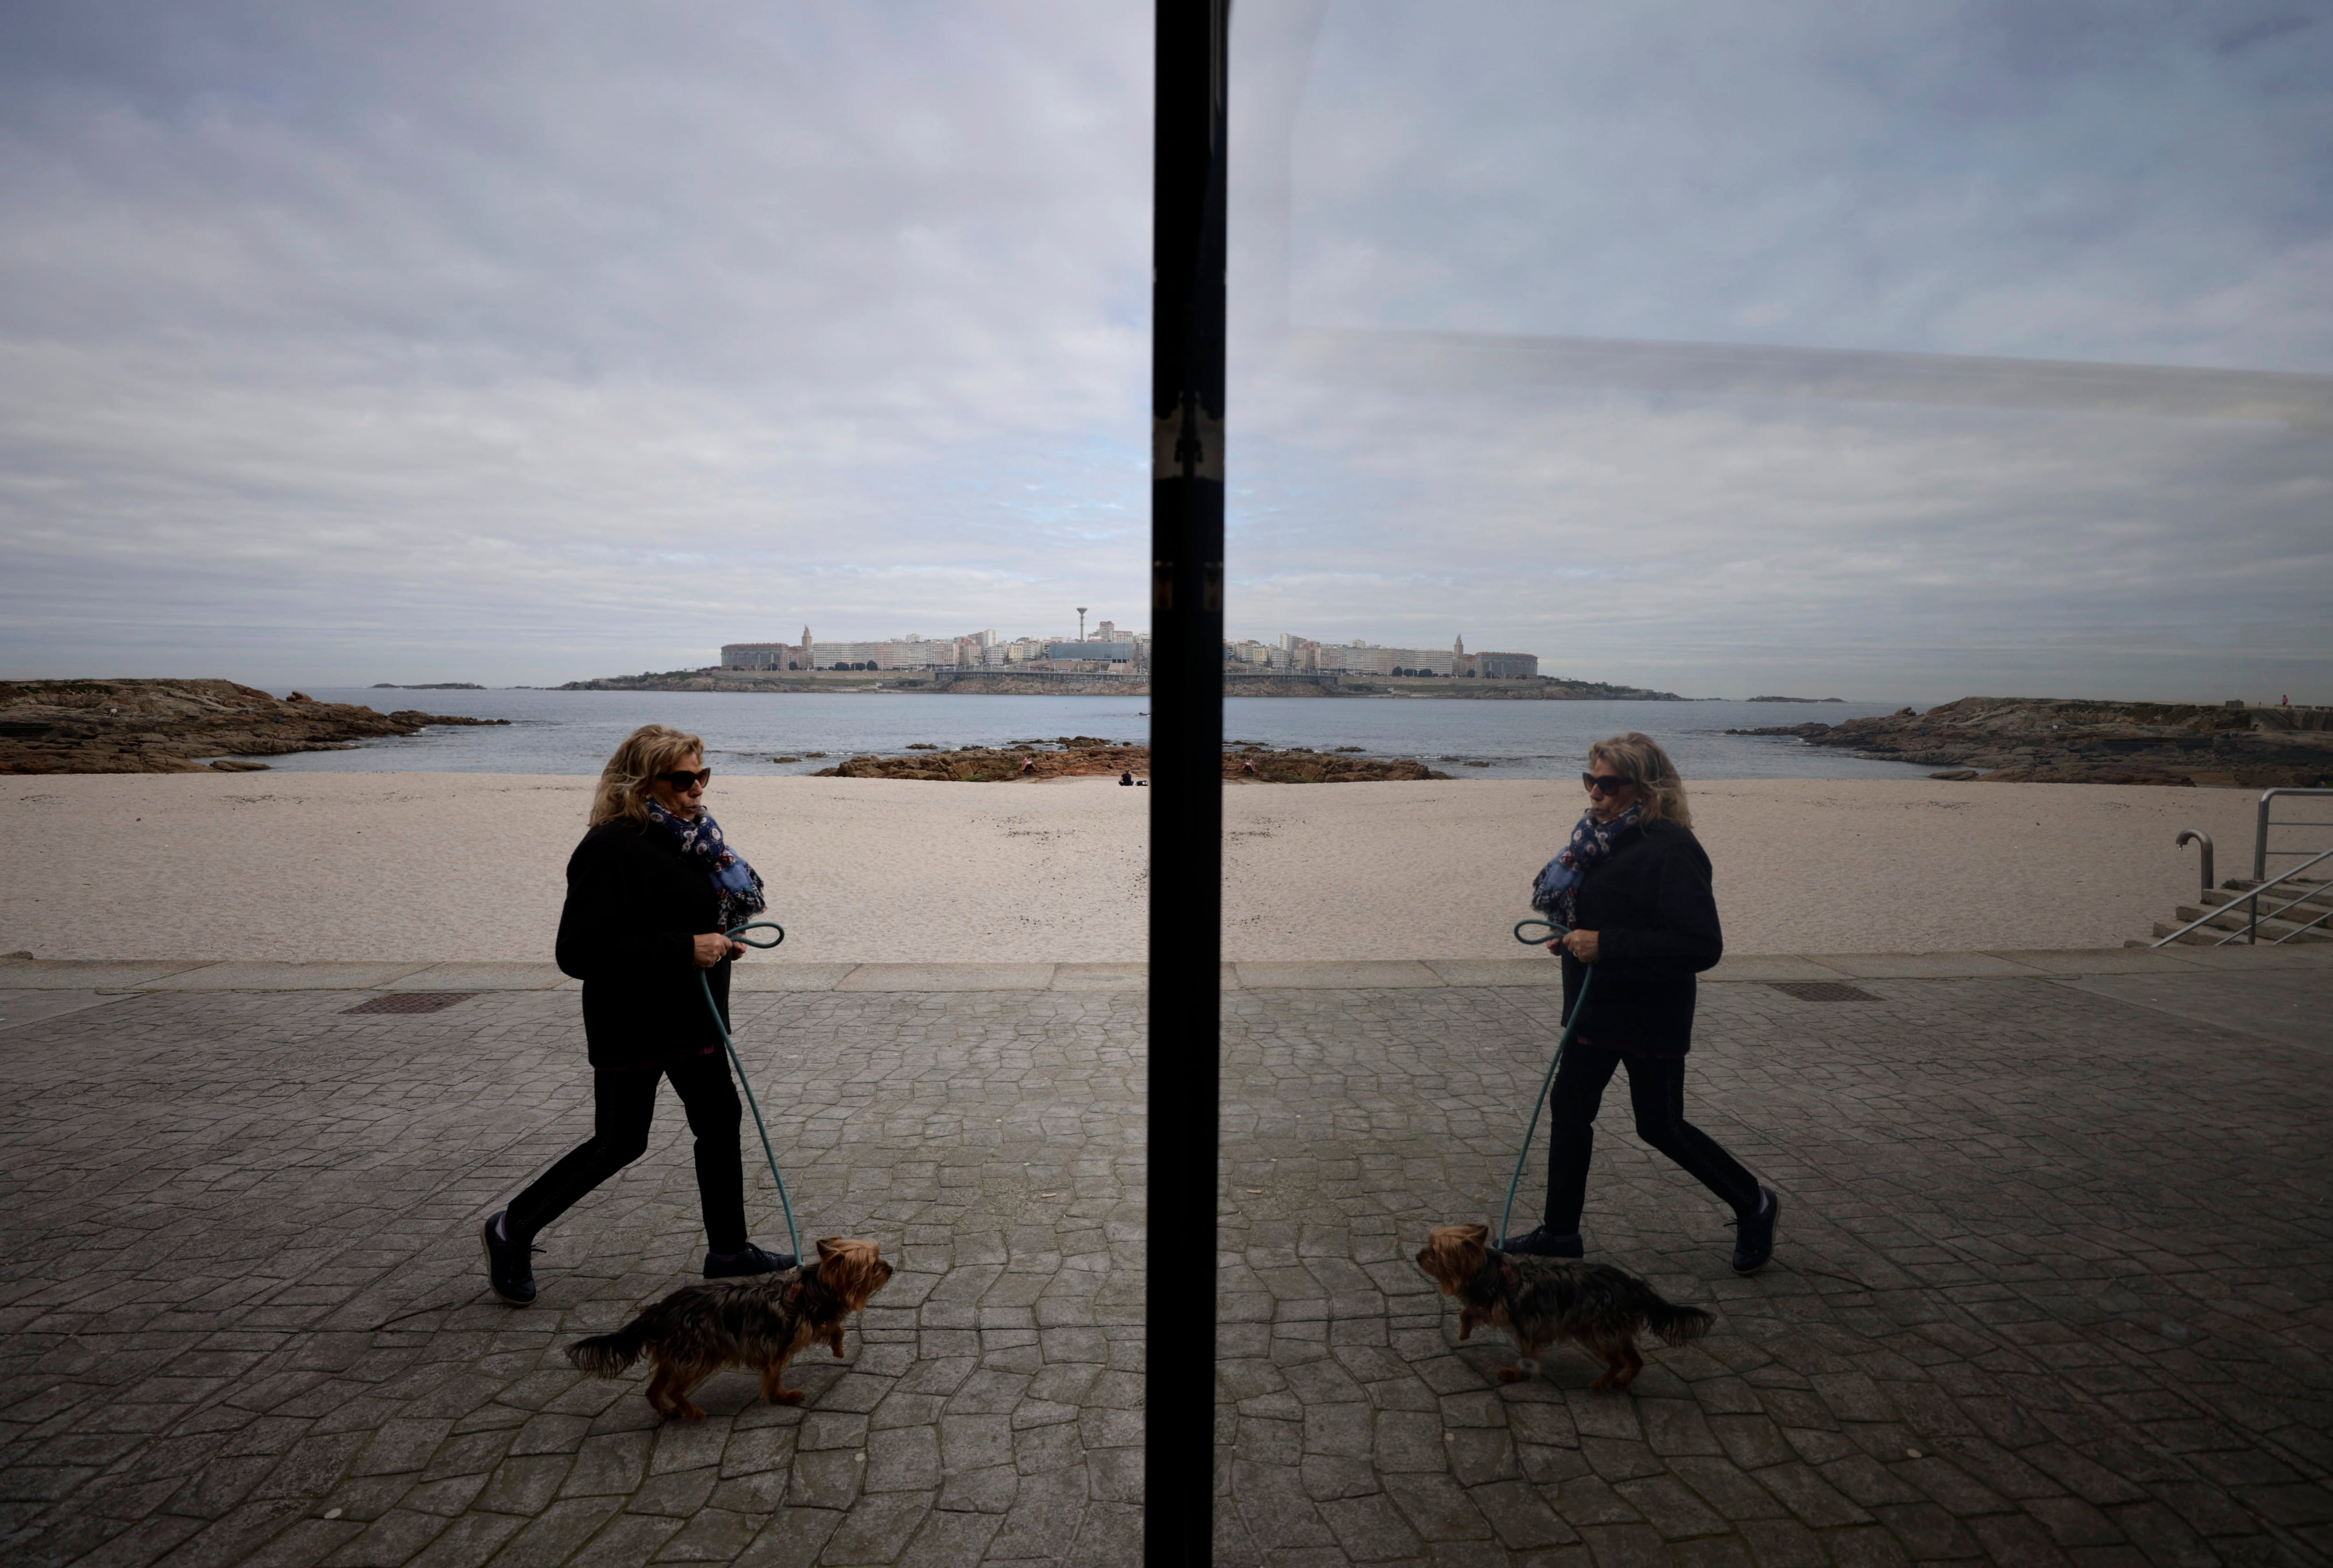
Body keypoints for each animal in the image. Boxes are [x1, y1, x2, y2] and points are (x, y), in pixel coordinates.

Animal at [565, 1241, 891, 1418]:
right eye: (872, 1264)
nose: (890, 1268)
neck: (813, 1289)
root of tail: (658, 1311)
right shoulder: (778, 1346)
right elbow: (774, 1376)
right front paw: (783, 1397)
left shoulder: (810, 1325)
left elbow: (836, 1329)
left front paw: (838, 1350)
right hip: (698, 1356)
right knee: (673, 1389)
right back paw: (692, 1412)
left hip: (674, 1357)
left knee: (653, 1389)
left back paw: (669, 1412)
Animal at [1400, 1222, 1717, 1390]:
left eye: (1435, 1252)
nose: (1417, 1256)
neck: (1489, 1271)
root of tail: (1634, 1287)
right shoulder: (1495, 1308)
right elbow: (1468, 1311)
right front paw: (1465, 1332)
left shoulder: (1520, 1323)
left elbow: (1526, 1355)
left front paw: (1516, 1375)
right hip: (1615, 1331)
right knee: (1635, 1360)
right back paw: (1620, 1383)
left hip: (1594, 1332)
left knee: (1617, 1361)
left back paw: (1601, 1384)